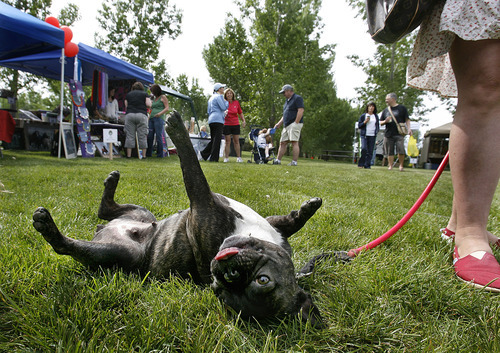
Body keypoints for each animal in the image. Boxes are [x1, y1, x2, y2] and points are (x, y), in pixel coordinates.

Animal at [33, 111, 330, 326]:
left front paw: (177, 129)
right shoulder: (274, 229)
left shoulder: (201, 203)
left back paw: (48, 227)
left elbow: (194, 171)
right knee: (105, 210)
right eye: (264, 279)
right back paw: (111, 182)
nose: (226, 274)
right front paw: (306, 209)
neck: (251, 234)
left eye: (218, 292)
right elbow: (289, 223)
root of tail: (100, 231)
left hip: (119, 252)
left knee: (69, 245)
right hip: (142, 213)